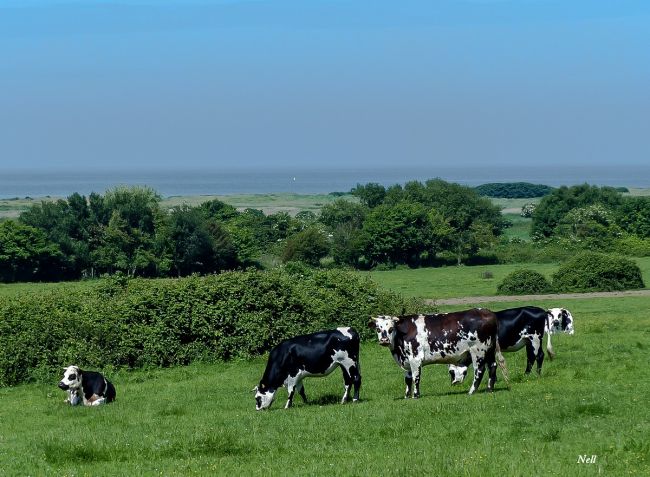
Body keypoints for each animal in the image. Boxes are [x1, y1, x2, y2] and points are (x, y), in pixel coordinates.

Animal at [368, 306, 504, 396]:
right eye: (378, 329)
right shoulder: (407, 360)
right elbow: (408, 379)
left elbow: (416, 377)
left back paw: (471, 391)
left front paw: (415, 395)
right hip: (489, 350)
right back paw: (489, 389)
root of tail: (487, 312)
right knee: (492, 366)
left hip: (478, 351)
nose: (384, 340)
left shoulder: (415, 358)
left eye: (391, 328)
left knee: (479, 370)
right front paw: (407, 396)